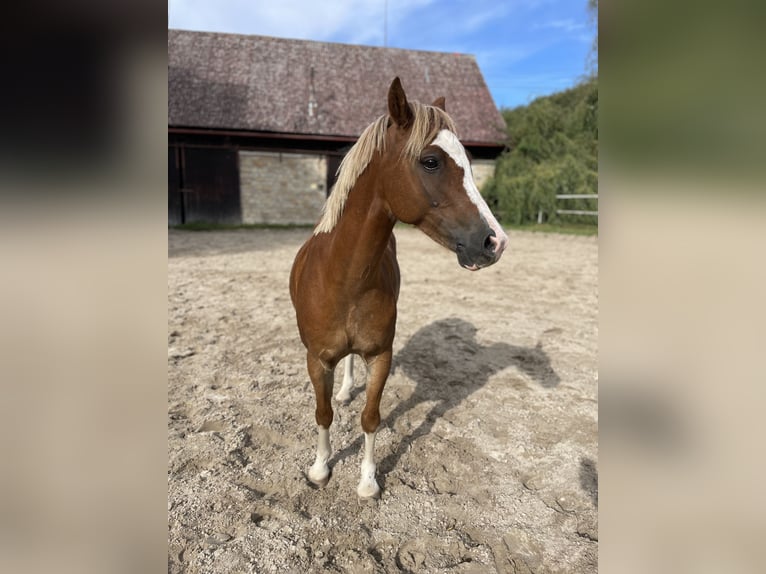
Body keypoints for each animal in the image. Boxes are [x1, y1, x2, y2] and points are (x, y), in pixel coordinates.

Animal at [290, 76, 510, 500]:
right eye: (431, 161)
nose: (495, 241)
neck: (343, 277)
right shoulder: (317, 360)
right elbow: (323, 413)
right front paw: (321, 468)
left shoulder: (381, 356)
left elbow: (371, 417)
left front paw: (367, 481)